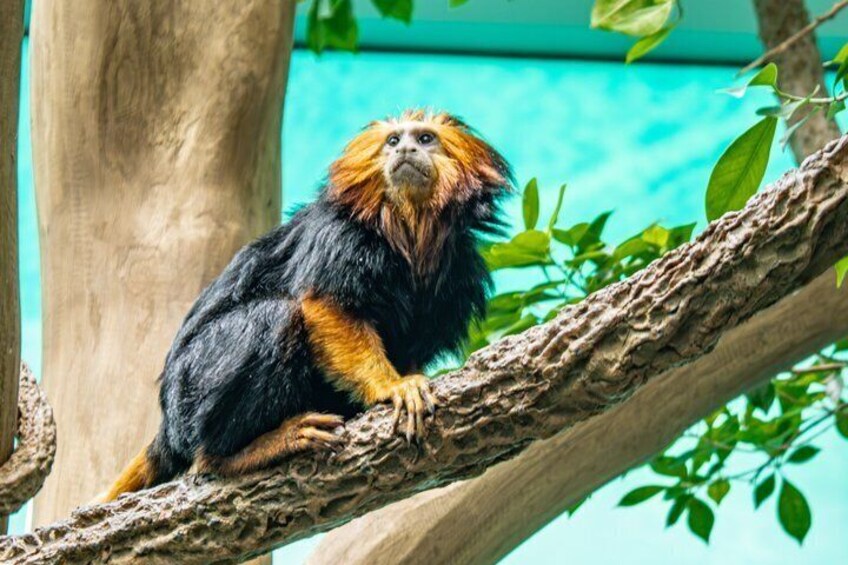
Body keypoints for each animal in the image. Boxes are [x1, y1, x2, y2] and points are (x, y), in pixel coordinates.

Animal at [103, 109, 514, 501]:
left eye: (426, 139)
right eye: (393, 141)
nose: (406, 150)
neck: (409, 231)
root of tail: (168, 424)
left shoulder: (458, 270)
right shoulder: (341, 235)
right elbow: (326, 307)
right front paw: (391, 386)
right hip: (192, 383)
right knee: (273, 317)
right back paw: (233, 454)